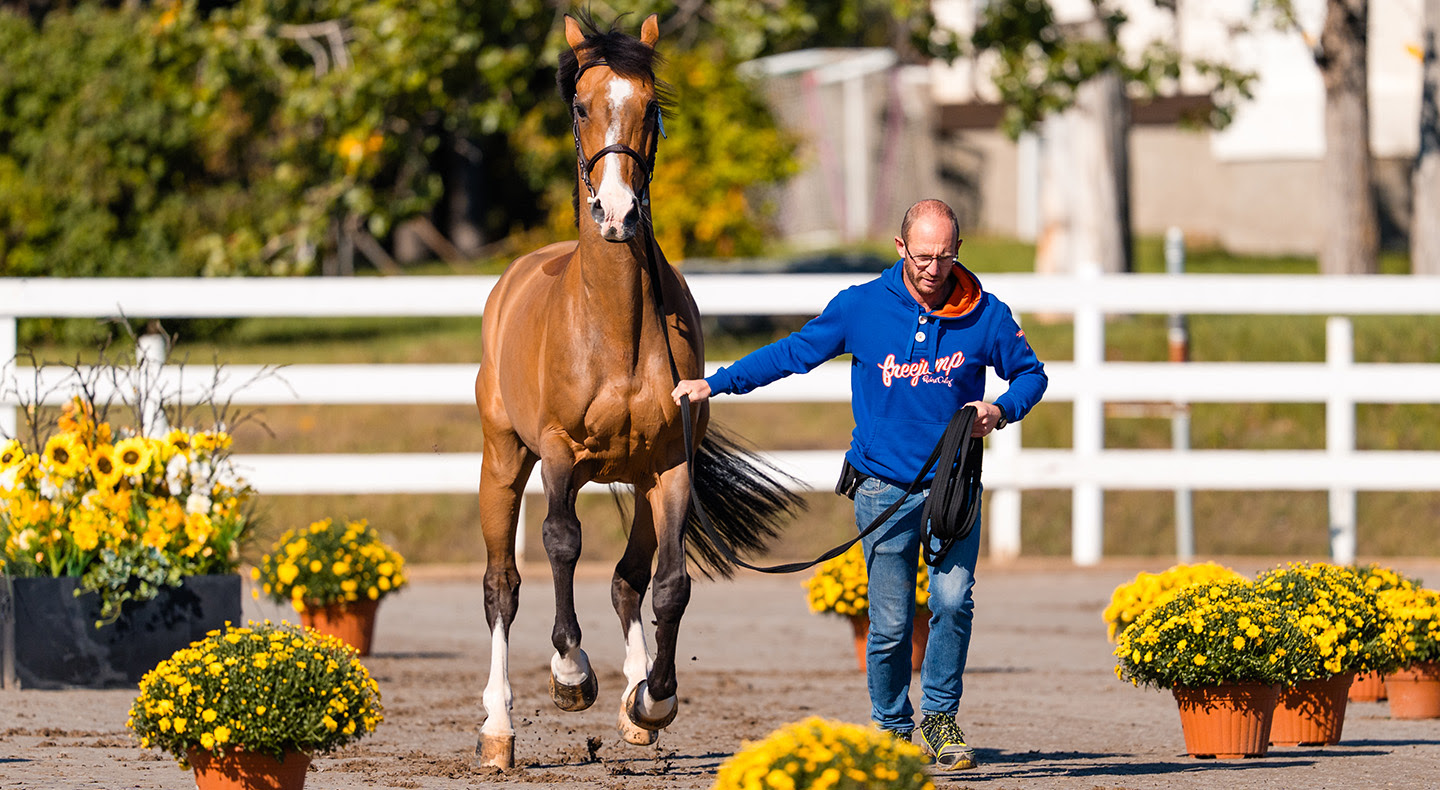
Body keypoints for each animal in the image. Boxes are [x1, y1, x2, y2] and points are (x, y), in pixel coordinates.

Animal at [473, 13, 801, 769]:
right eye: (580, 105)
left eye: (651, 107)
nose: (618, 212)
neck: (613, 327)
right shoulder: (559, 454)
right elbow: (561, 541)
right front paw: (571, 674)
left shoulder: (670, 466)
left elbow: (670, 583)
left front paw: (653, 698)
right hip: (503, 458)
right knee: (503, 585)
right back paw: (500, 730)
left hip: (639, 482)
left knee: (628, 578)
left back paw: (633, 708)